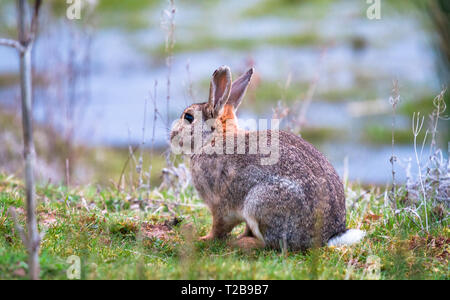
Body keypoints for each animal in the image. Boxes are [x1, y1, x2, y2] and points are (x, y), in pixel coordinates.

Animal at [170, 65, 366, 251]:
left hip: (259, 202)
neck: (214, 139)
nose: (171, 135)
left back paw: (241, 244)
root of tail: (326, 236)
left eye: (188, 117)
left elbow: (219, 227)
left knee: (272, 244)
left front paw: (204, 239)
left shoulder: (220, 206)